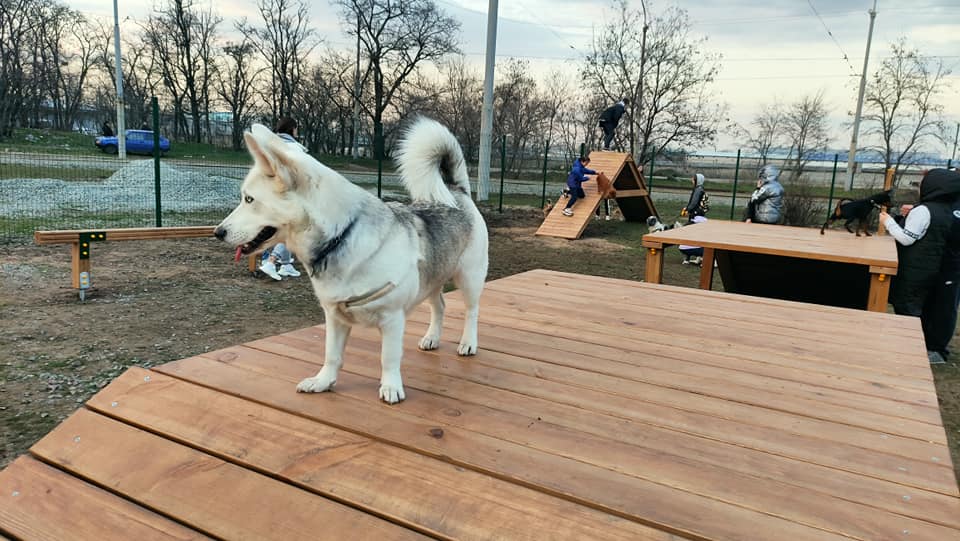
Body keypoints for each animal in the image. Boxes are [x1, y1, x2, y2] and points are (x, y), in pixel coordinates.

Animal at [215, 119, 492, 404]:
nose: (218, 232)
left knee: (471, 311)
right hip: (432, 280)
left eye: (249, 199)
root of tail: (457, 191)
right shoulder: (334, 317)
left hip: (469, 279)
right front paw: (323, 382)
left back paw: (468, 343)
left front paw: (391, 386)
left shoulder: (392, 319)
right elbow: (332, 355)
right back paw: (432, 338)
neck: (342, 234)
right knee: (440, 307)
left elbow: (388, 357)